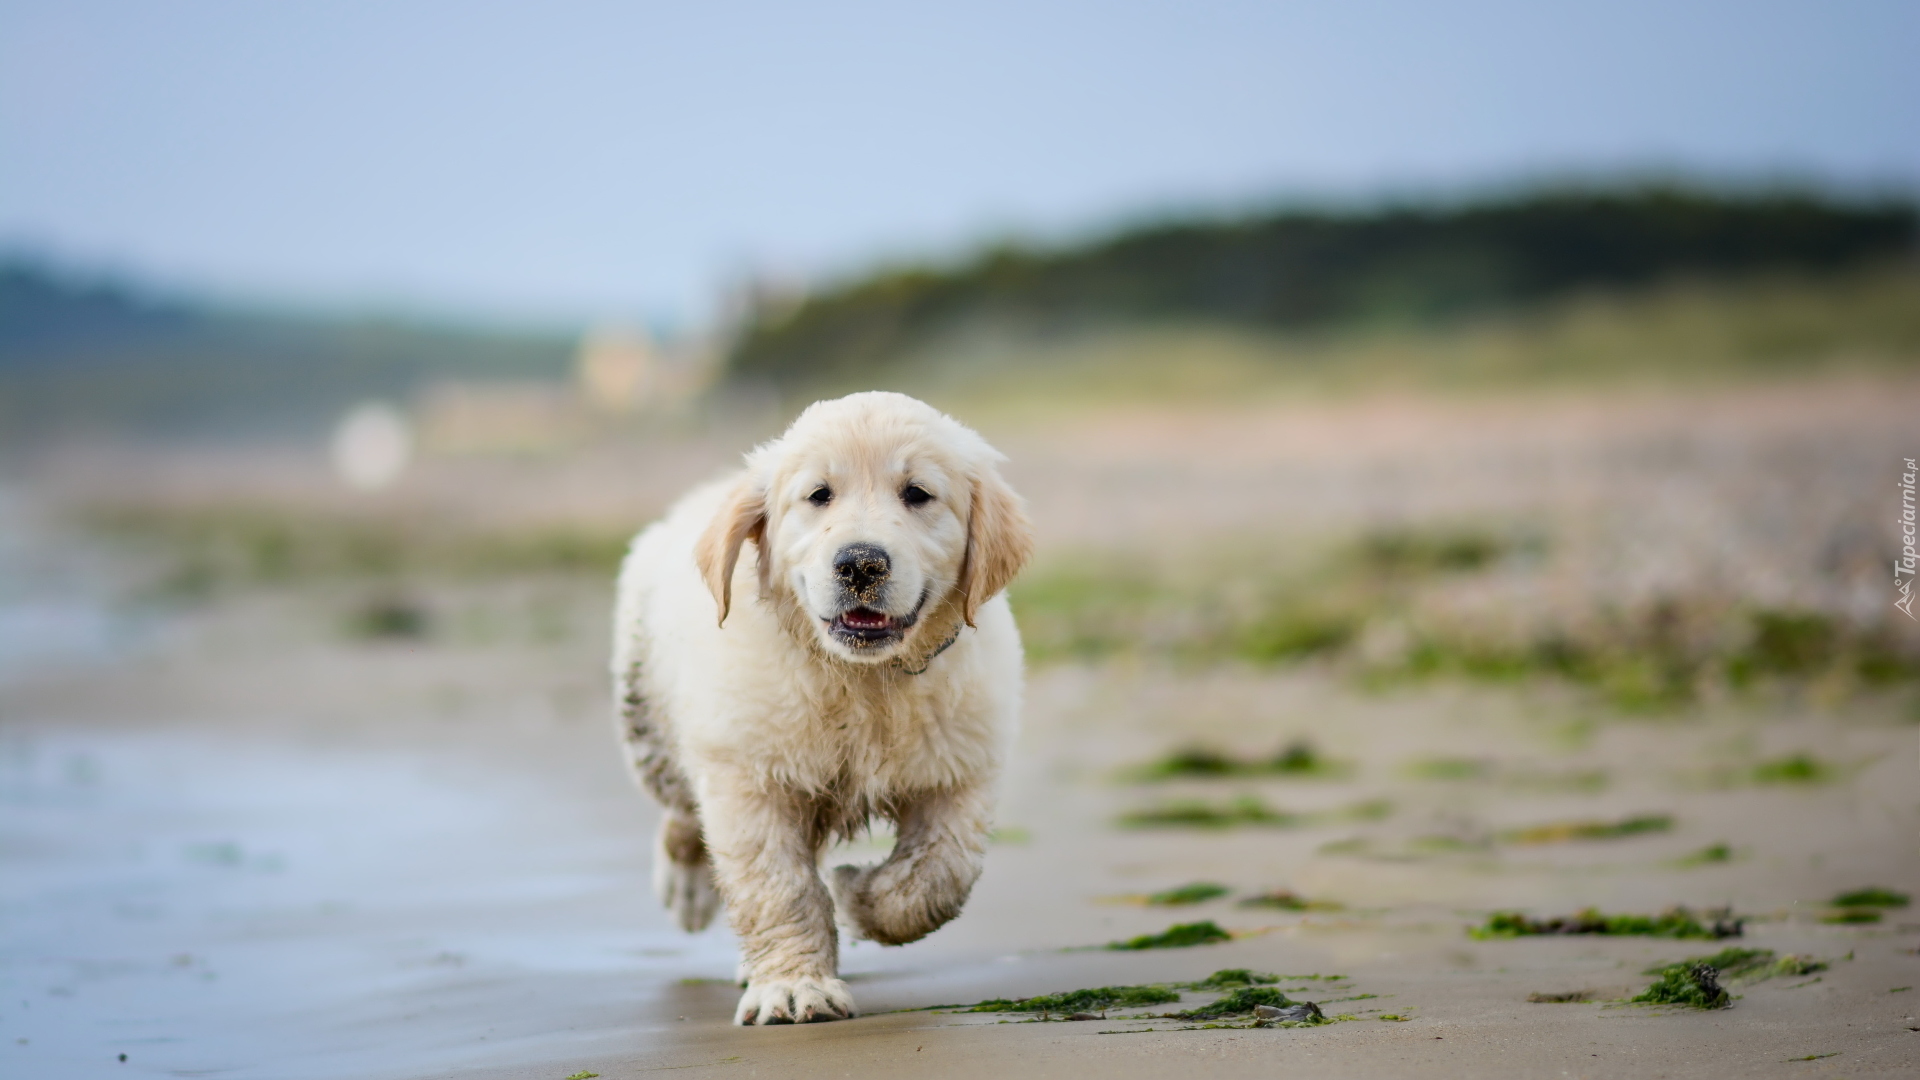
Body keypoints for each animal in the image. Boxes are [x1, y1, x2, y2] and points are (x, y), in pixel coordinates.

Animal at [610, 386, 1036, 1014]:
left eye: (917, 493)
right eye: (819, 495)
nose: (860, 563)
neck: (863, 680)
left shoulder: (961, 771)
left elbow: (940, 876)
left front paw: (859, 897)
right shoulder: (750, 780)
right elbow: (777, 889)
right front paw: (792, 987)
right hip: (654, 725)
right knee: (680, 809)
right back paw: (686, 887)